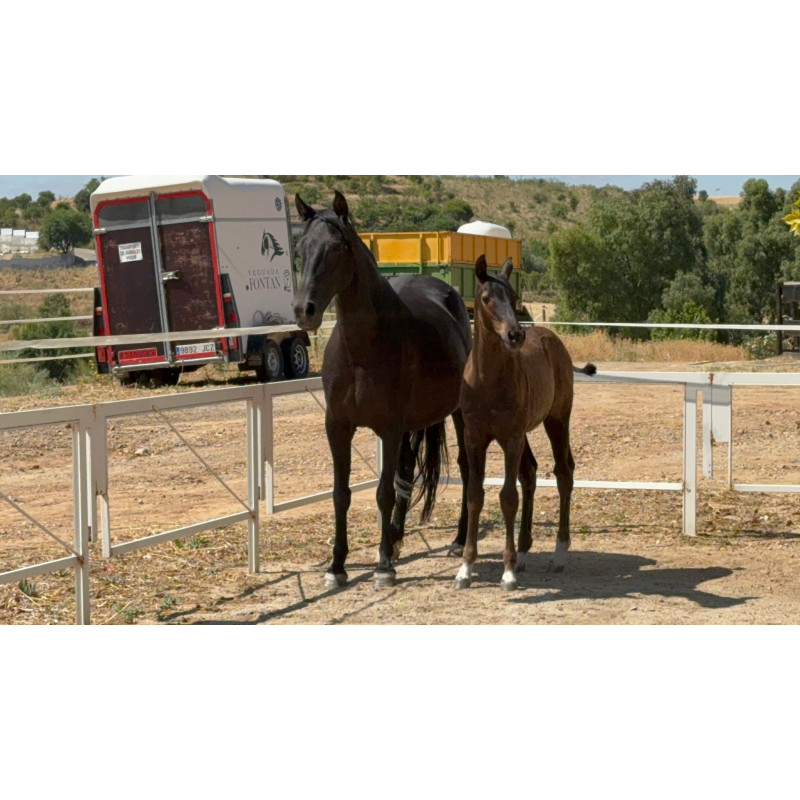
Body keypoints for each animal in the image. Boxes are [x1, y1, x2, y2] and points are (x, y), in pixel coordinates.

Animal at [293, 191, 473, 588]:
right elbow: (341, 494)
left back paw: (457, 540)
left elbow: (383, 492)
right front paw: (337, 567)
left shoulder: (388, 428)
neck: (362, 348)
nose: (304, 310)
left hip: (459, 413)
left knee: (468, 468)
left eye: (338, 246)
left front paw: (383, 568)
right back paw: (395, 538)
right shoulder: (338, 427)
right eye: (300, 248)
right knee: (406, 470)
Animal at [455, 255, 596, 590]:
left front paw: (507, 572)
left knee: (564, 472)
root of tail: (552, 338)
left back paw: (558, 553)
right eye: (486, 298)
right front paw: (465, 568)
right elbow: (475, 495)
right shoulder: (475, 437)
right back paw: (524, 550)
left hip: (556, 419)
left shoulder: (510, 438)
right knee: (530, 473)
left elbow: (507, 497)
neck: (487, 381)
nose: (515, 334)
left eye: (514, 296)